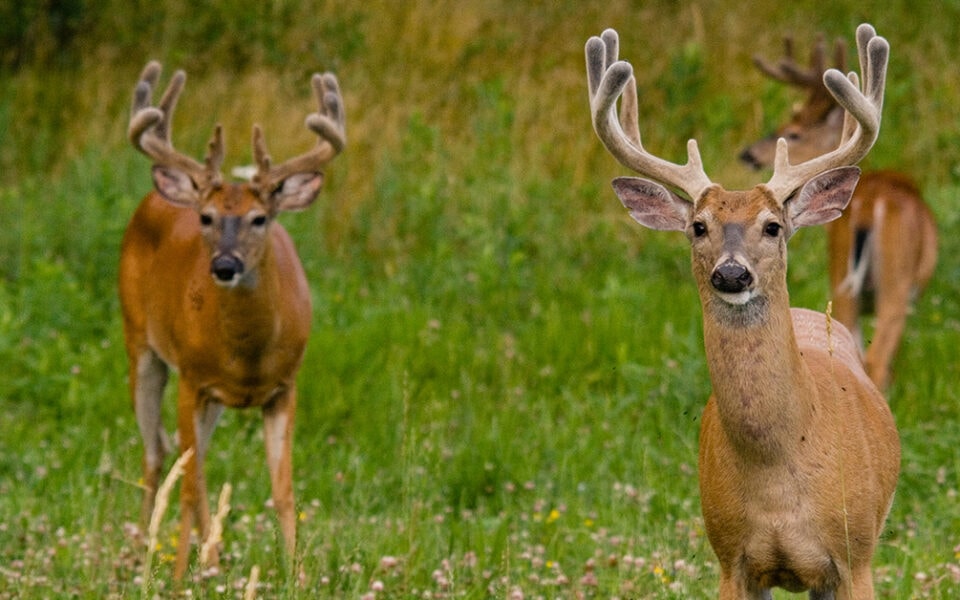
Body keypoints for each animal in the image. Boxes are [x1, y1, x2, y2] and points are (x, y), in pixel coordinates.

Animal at [119, 59, 344, 576]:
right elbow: (188, 487)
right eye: (205, 217)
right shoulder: (192, 377)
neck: (249, 357)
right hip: (140, 341)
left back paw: (210, 556)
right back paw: (148, 550)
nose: (224, 265)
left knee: (190, 457)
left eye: (260, 218)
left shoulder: (285, 387)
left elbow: (284, 493)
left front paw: (297, 577)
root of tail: (154, 197)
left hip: (211, 399)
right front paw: (177, 579)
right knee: (159, 453)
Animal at [584, 22, 900, 596]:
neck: (779, 473)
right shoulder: (731, 558)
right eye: (697, 226)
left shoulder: (856, 554)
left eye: (772, 226)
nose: (731, 274)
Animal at [736, 34, 936, 390]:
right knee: (878, 360)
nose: (748, 154)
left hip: (842, 276)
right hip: (893, 282)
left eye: (792, 131)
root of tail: (869, 208)